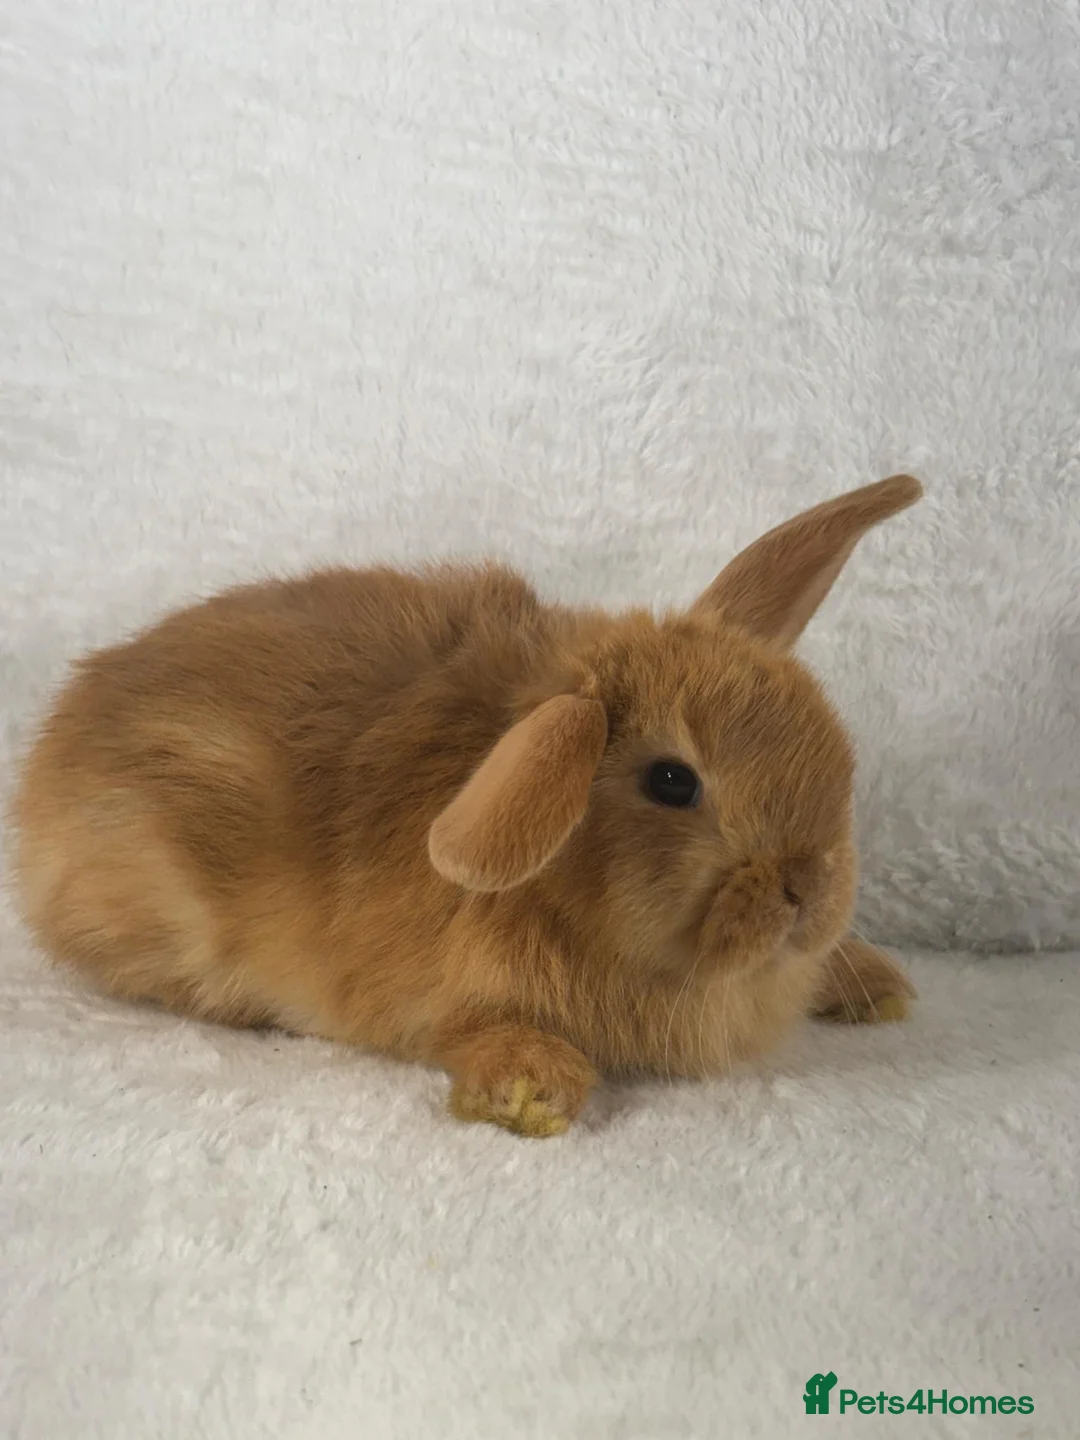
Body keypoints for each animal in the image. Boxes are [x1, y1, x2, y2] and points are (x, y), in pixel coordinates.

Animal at [12, 476, 921, 1137]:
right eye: (673, 781)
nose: (812, 889)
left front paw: (879, 985)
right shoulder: (436, 998)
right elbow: (468, 1033)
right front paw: (529, 1091)